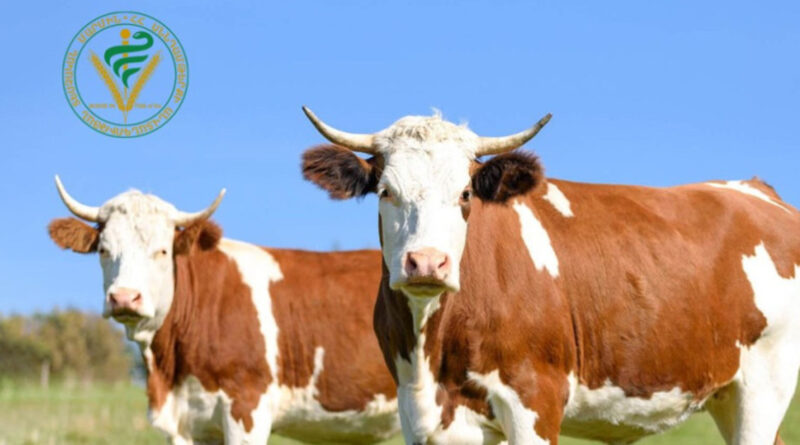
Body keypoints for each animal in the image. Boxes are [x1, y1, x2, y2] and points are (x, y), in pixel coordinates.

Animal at [47, 177, 399, 444]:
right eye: (103, 250)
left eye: (162, 251)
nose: (124, 297)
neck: (170, 371)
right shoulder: (189, 424)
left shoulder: (247, 408)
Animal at [300, 107, 800, 445]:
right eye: (386, 191)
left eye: (465, 193)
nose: (426, 263)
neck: (434, 345)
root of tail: (755, 189)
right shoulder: (420, 409)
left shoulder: (534, 397)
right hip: (728, 393)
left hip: (766, 383)